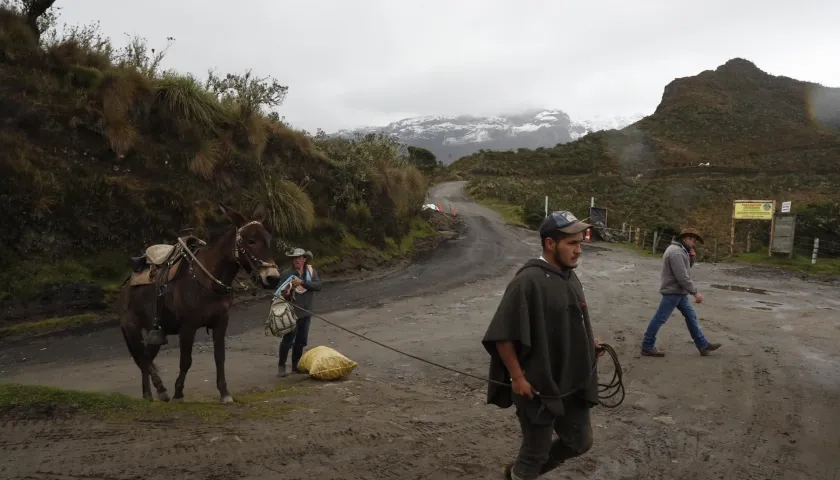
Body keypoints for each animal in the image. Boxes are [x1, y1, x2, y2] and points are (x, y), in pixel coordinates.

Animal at [119, 201, 282, 404]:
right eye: (250, 240)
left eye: (269, 240)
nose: (273, 278)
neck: (206, 280)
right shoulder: (187, 327)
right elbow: (185, 361)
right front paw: (178, 394)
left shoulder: (221, 322)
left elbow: (220, 357)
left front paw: (224, 393)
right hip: (131, 326)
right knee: (143, 357)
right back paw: (161, 389)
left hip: (153, 331)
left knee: (145, 358)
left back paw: (148, 395)